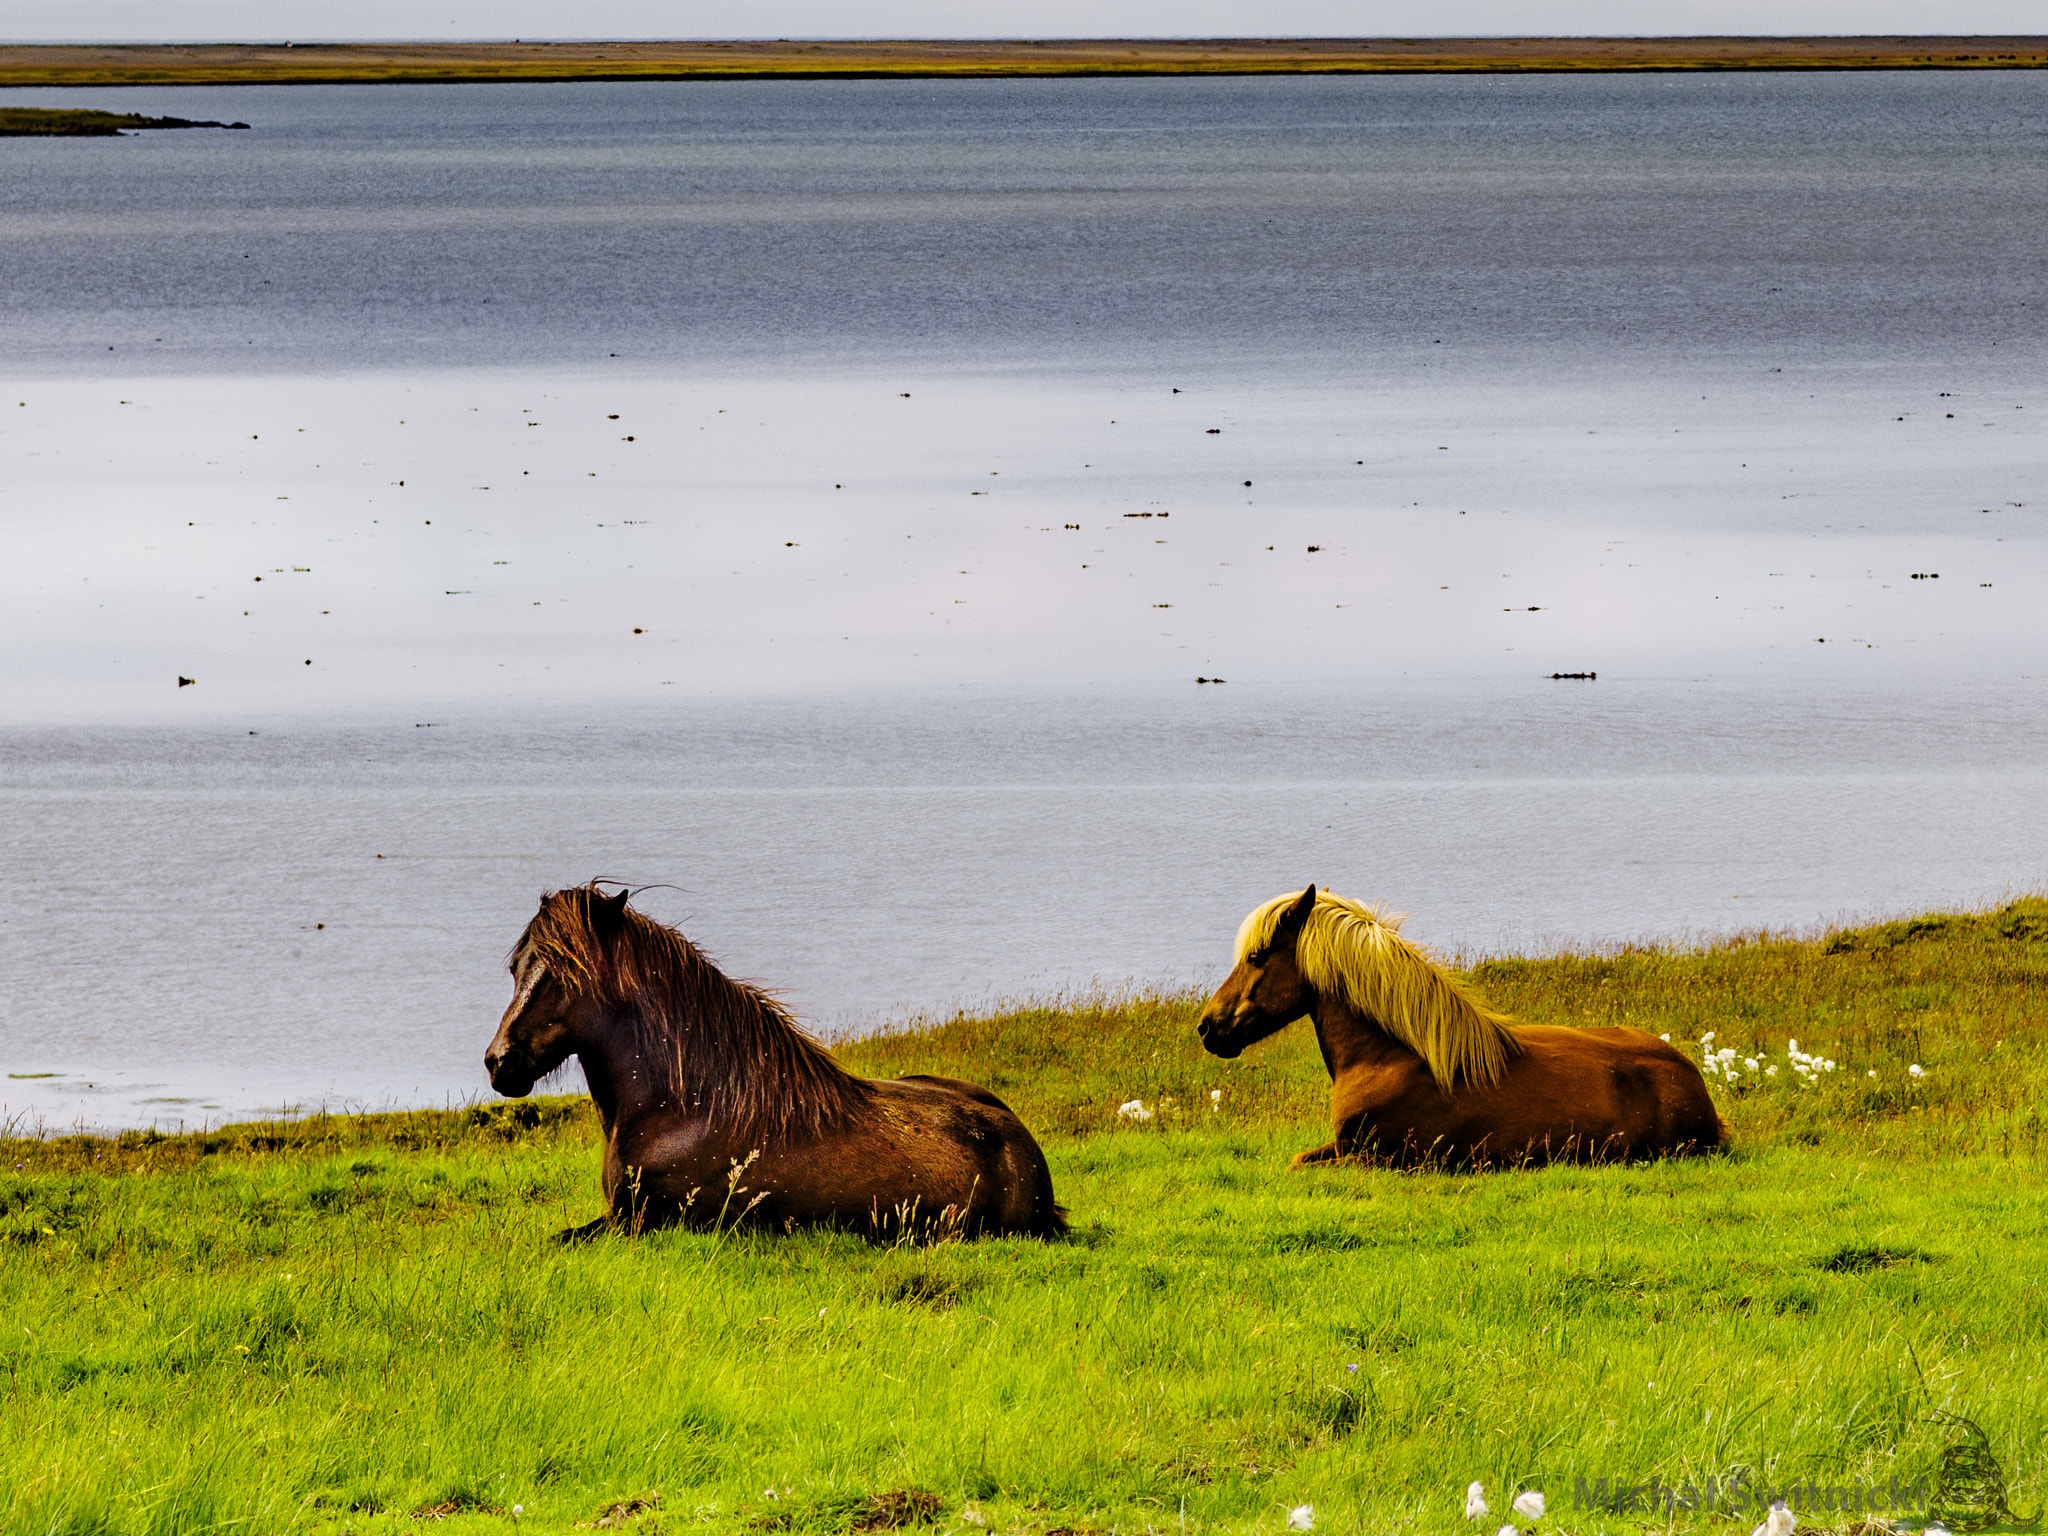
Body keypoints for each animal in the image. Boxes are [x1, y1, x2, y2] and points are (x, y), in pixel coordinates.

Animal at [485, 888, 1064, 1236]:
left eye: (565, 974)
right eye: (516, 967)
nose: (499, 1062)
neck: (682, 1108)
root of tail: (1021, 1146)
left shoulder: (635, 1225)